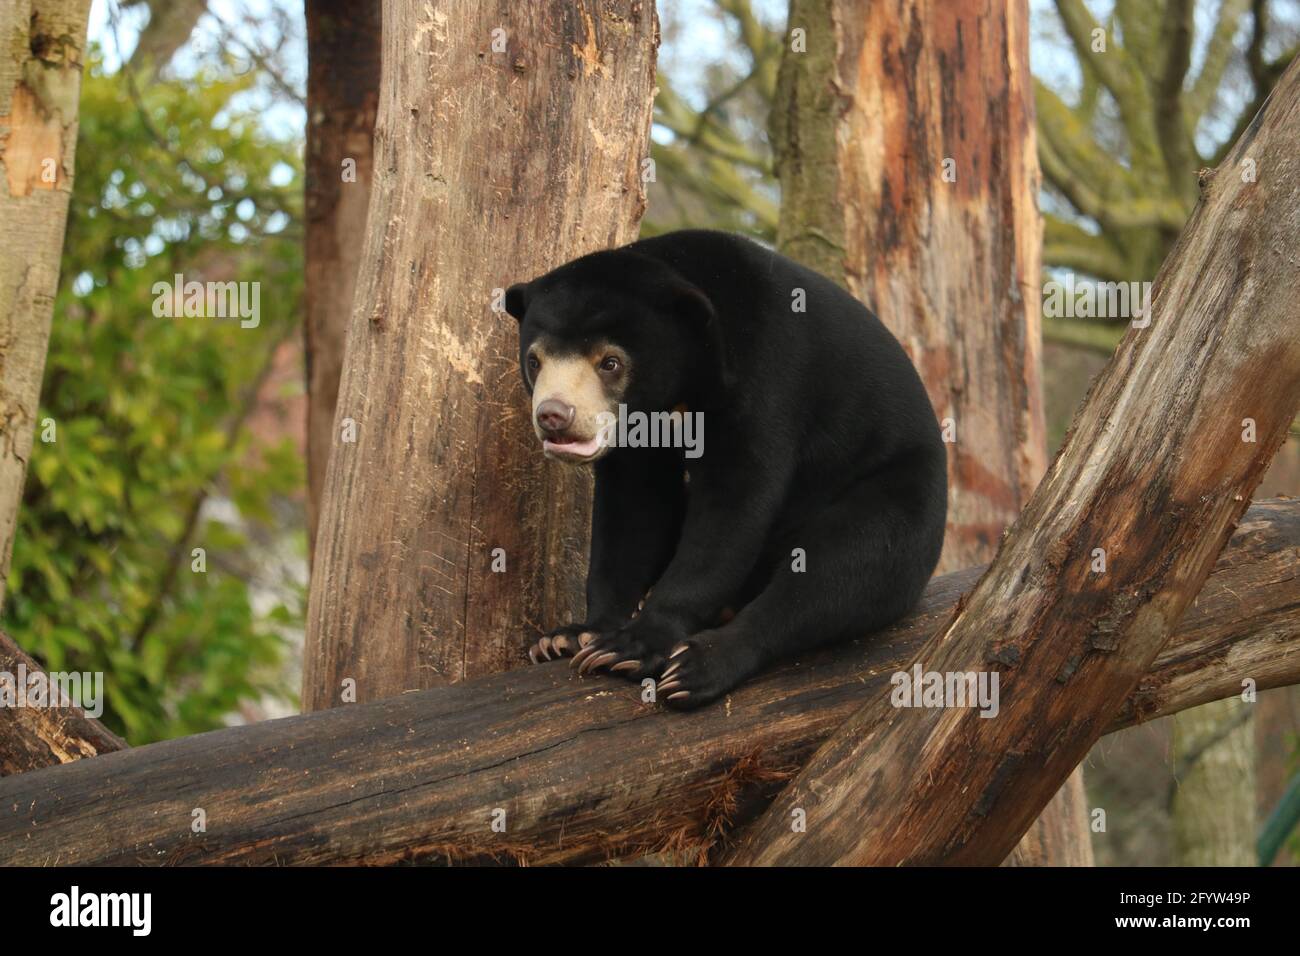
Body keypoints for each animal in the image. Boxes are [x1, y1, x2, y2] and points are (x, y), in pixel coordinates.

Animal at [505, 229, 947, 710]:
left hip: (898, 489)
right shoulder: (637, 434)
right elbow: (632, 512)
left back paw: (697, 667)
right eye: (534, 361)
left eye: (610, 362)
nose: (554, 416)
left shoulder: (765, 374)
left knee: (847, 564)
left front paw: (630, 646)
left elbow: (734, 504)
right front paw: (577, 635)